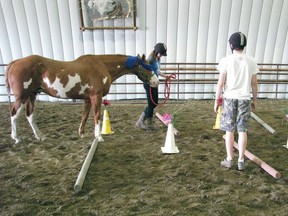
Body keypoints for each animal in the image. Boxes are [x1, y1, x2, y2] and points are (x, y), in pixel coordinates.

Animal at [6, 53, 160, 143]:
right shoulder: (96, 96)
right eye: (147, 66)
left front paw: (82, 134)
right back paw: (16, 138)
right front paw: (99, 136)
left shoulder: (87, 99)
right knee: (14, 115)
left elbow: (84, 116)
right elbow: (97, 116)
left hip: (32, 95)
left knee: (29, 115)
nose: (156, 81)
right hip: (22, 97)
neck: (102, 65)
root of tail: (15, 63)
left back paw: (40, 136)